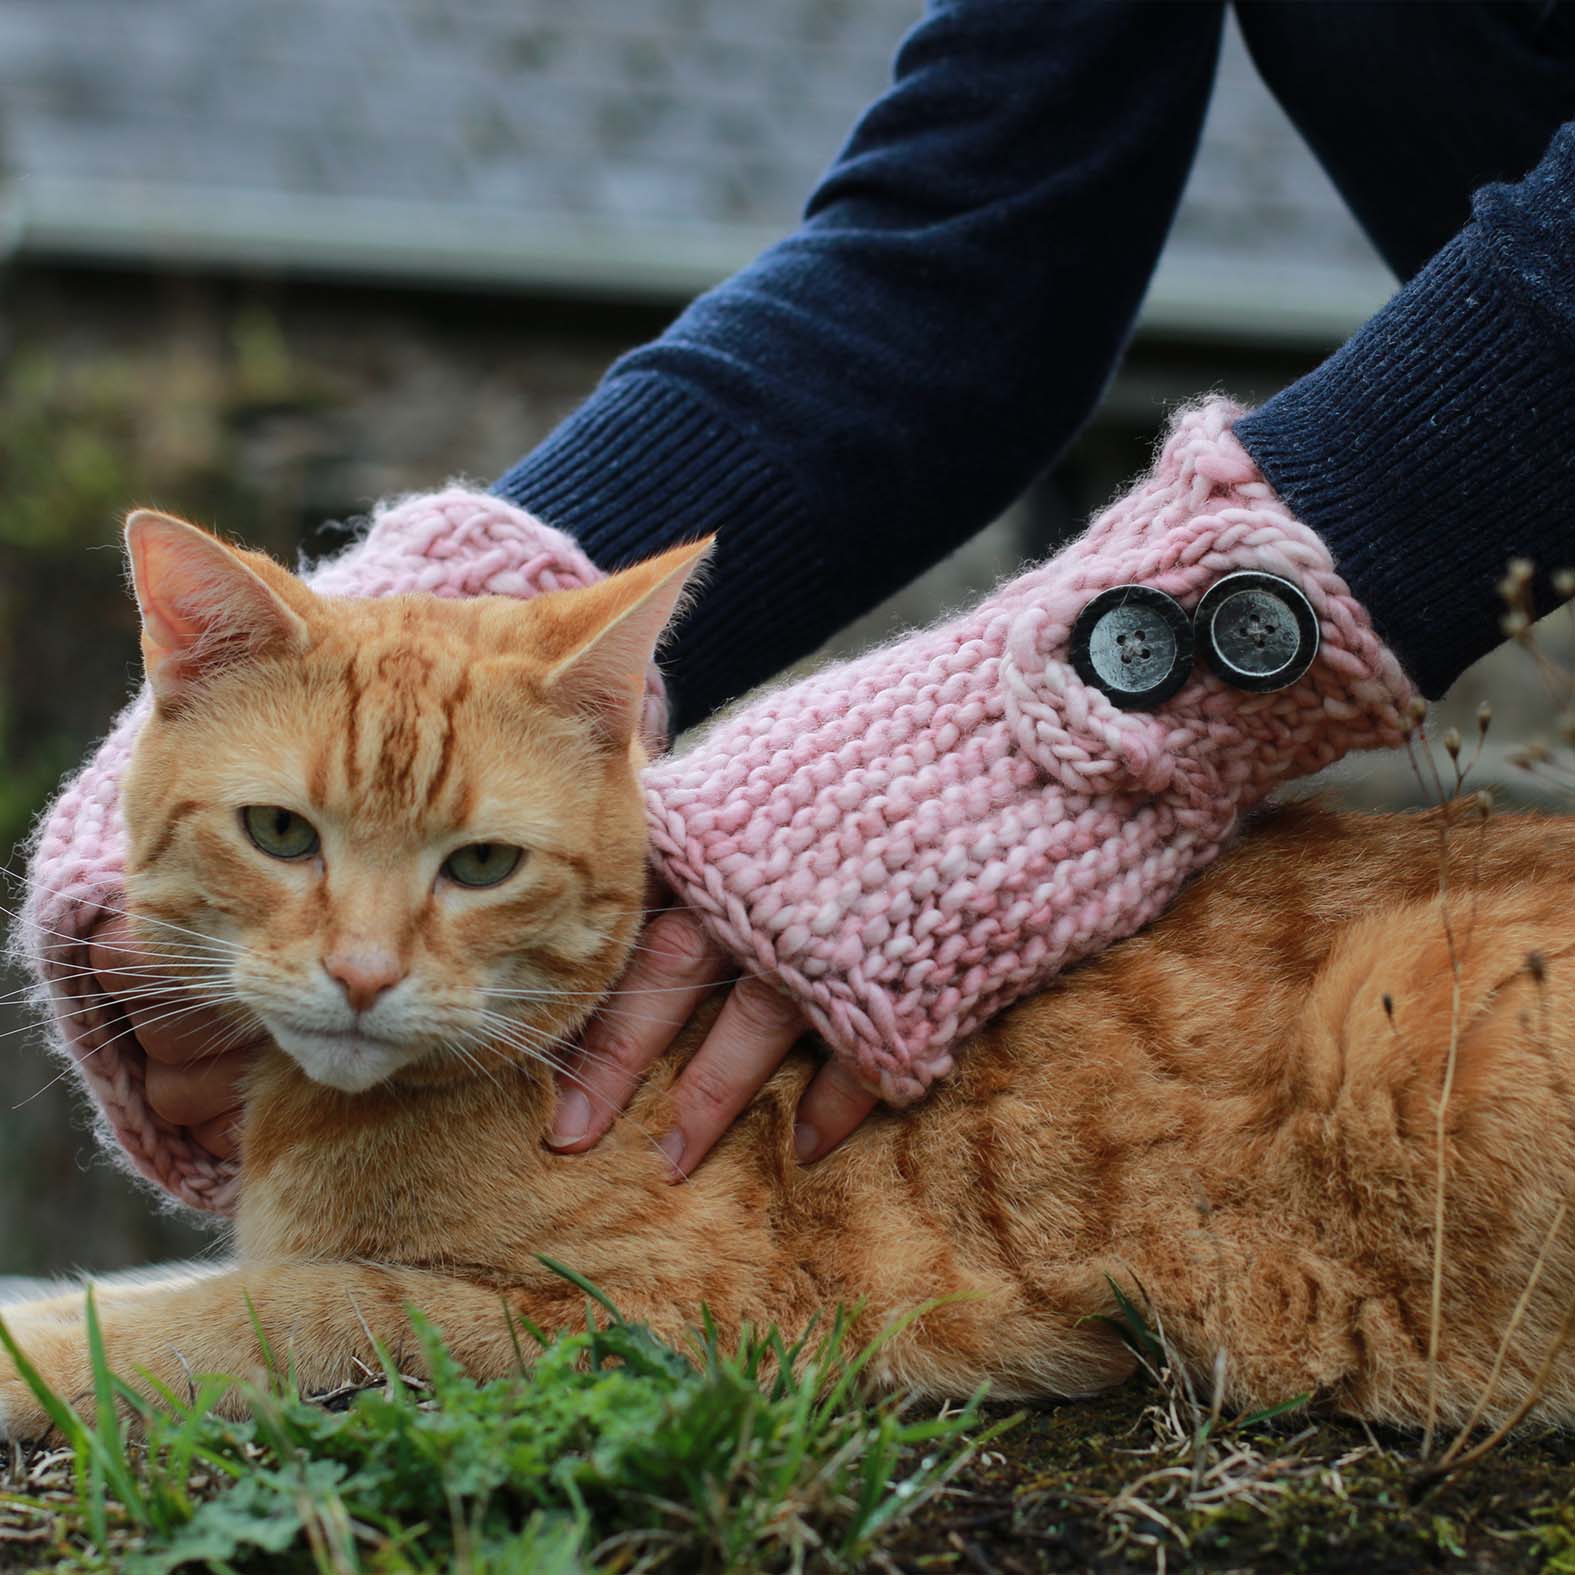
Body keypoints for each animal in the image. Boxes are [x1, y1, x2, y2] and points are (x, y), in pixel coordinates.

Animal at [3, 516, 1575, 1442]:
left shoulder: (655, 1327)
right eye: (281, 834)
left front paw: (51, 1340)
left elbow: (263, 1312)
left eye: (482, 865)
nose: (363, 973)